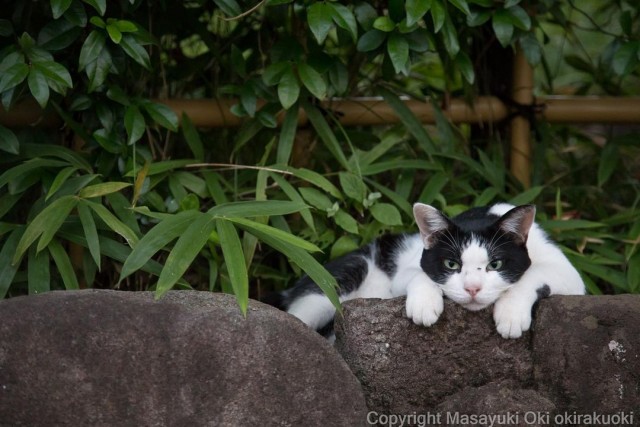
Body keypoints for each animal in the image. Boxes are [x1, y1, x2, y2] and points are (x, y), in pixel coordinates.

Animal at [268, 202, 588, 340]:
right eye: (451, 264)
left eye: (495, 264)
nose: (473, 288)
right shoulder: (404, 270)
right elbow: (419, 273)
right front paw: (424, 305)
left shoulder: (570, 275)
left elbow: (533, 273)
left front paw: (510, 315)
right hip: (338, 280)